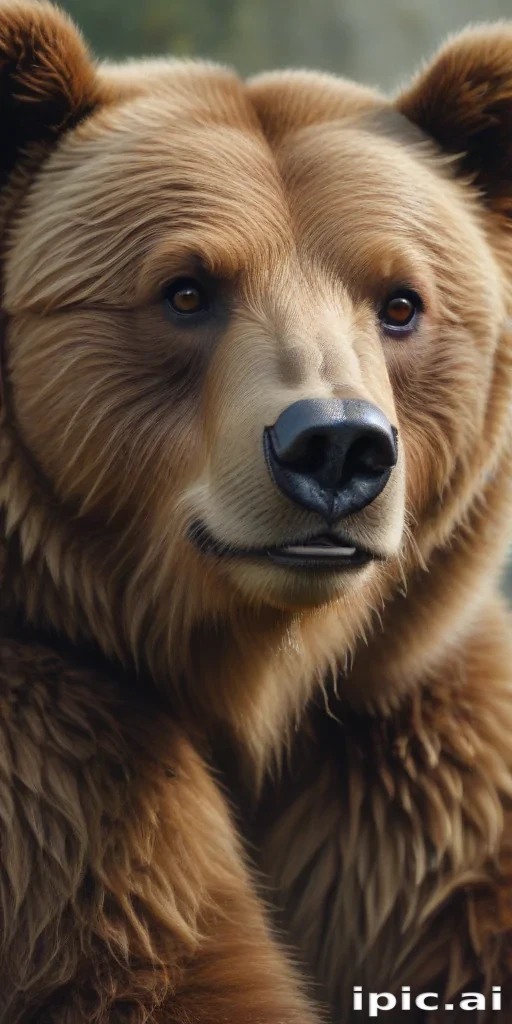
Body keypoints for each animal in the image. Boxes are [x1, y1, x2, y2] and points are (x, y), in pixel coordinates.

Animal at [1, 2, 512, 1023]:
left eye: (402, 303)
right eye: (186, 289)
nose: (337, 448)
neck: (254, 675)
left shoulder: (413, 764)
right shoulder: (56, 775)